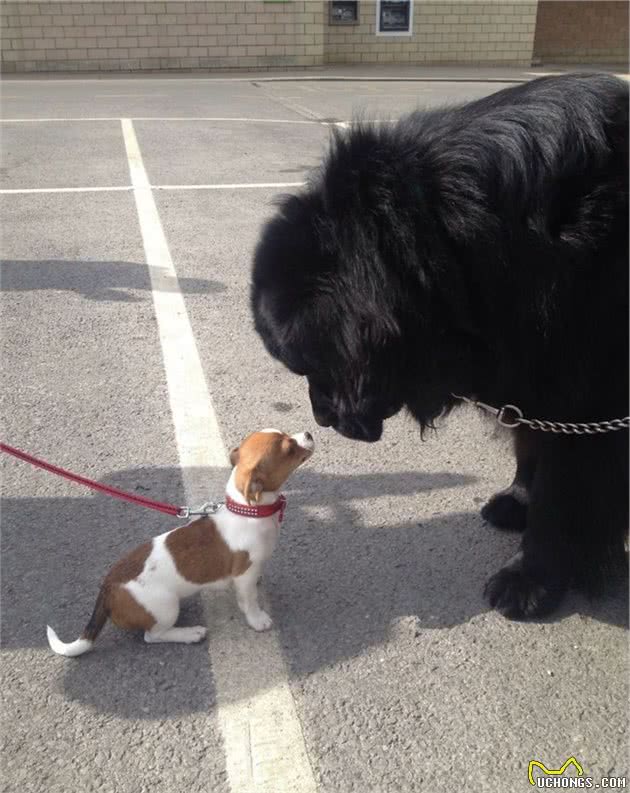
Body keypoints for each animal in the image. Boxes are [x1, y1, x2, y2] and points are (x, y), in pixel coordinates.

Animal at [47, 430, 316, 652]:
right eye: (289, 449)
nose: (309, 434)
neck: (248, 511)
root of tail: (107, 587)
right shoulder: (244, 576)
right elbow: (249, 602)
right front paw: (258, 619)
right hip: (166, 608)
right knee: (152, 636)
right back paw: (190, 633)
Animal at [249, 74, 628, 620]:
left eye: (314, 365)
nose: (320, 417)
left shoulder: (588, 396)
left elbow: (562, 491)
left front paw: (530, 579)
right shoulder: (527, 369)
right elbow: (530, 443)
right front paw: (518, 499)